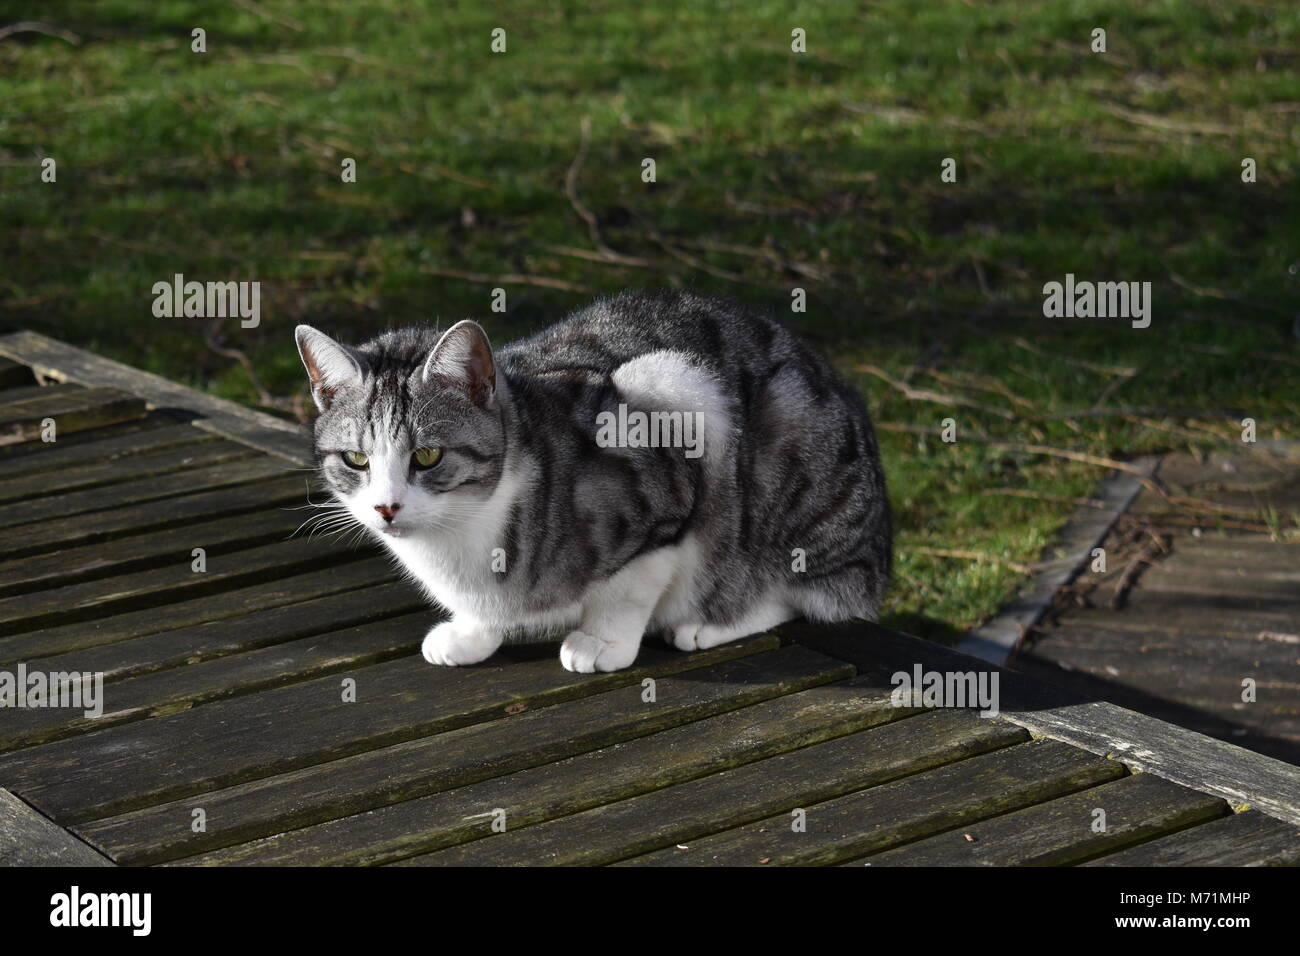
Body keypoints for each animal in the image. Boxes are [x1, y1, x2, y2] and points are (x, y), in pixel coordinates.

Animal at [293, 291, 889, 671]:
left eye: (427, 455)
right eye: (356, 459)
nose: (386, 508)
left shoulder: (667, 453)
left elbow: (631, 585)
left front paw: (603, 642)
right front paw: (471, 631)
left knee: (798, 591)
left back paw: (712, 620)